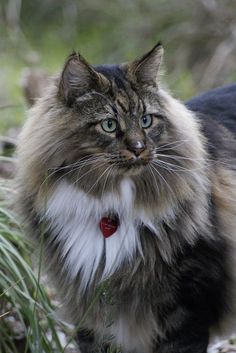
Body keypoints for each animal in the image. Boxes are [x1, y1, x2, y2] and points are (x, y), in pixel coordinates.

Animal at [15, 44, 235, 352]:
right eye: (109, 125)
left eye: (146, 120)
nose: (139, 148)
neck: (111, 206)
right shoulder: (89, 307)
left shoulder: (188, 301)